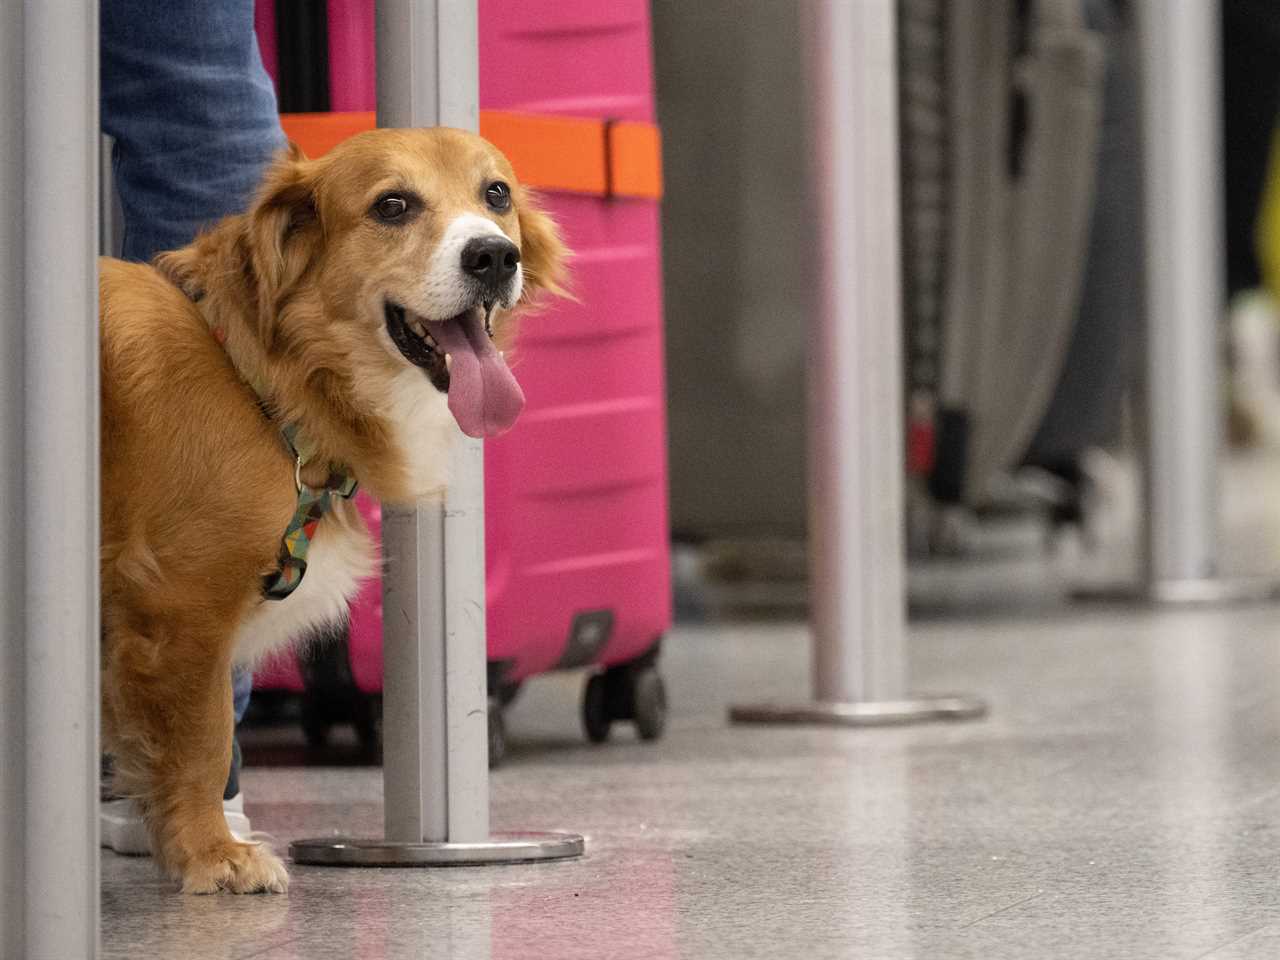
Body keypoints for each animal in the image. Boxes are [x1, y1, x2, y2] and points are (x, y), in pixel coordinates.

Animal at [102, 128, 573, 896]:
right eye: (392, 205)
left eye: (496, 194)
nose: (494, 255)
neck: (257, 377)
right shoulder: (180, 611)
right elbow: (204, 742)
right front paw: (212, 853)